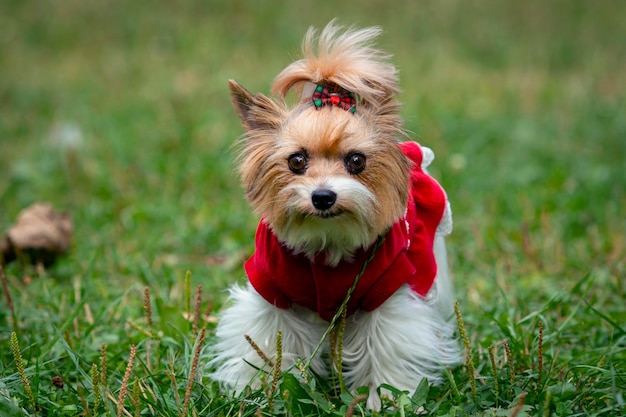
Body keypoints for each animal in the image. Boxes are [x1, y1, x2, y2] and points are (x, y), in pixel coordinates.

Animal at [210, 21, 458, 408]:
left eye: (356, 161)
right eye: (297, 161)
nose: (323, 197)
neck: (327, 243)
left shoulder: (387, 294)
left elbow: (386, 345)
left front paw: (381, 399)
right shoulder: (272, 293)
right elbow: (267, 343)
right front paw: (263, 392)